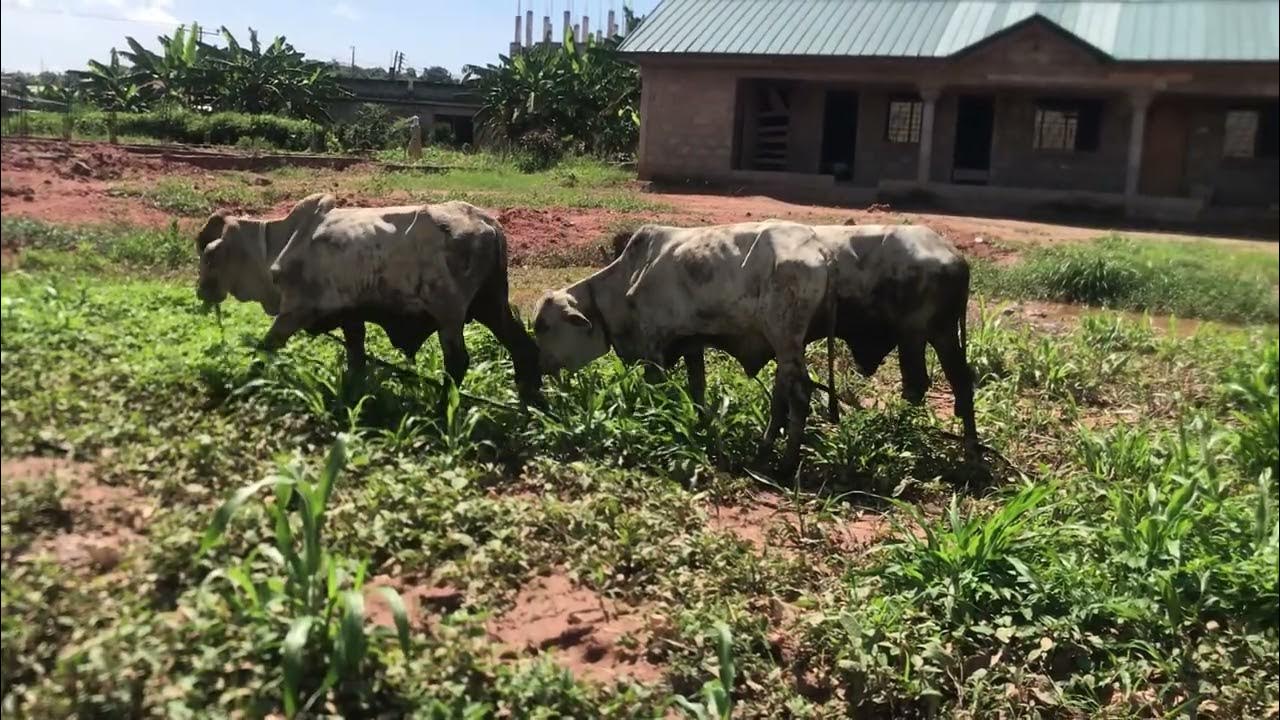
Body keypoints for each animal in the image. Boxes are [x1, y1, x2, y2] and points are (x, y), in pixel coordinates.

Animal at [194, 194, 542, 406]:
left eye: (209, 259)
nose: (201, 291)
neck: (279, 244)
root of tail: (489, 223)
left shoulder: (295, 310)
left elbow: (266, 346)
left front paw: (246, 378)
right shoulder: (351, 316)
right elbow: (356, 356)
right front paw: (354, 392)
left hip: (450, 315)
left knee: (457, 362)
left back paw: (443, 410)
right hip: (491, 305)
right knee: (523, 347)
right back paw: (531, 401)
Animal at [532, 221, 834, 473]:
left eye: (544, 326)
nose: (540, 364)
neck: (624, 280)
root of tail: (821, 254)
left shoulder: (653, 349)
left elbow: (656, 392)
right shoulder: (692, 345)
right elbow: (697, 388)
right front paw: (701, 426)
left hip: (785, 338)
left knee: (800, 394)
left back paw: (786, 464)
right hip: (787, 349)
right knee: (782, 395)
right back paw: (763, 452)